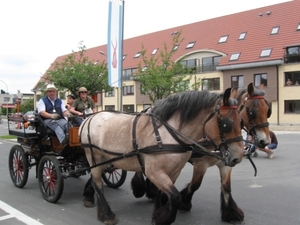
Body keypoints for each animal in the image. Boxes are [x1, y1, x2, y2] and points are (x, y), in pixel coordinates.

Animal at [79, 88, 244, 225]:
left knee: (95, 179)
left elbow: (165, 194)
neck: (167, 134)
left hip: (105, 160)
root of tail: (89, 118)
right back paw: (106, 214)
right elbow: (176, 196)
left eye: (241, 122)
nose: (237, 158)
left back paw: (90, 197)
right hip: (93, 157)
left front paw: (157, 213)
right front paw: (163, 218)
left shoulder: (174, 171)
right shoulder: (156, 172)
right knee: (98, 183)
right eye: (226, 124)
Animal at [131, 82, 272, 225]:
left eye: (268, 111)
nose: (265, 141)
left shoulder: (226, 163)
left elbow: (226, 187)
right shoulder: (201, 164)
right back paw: (141, 188)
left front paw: (231, 212)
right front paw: (184, 203)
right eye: (252, 112)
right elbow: (195, 185)